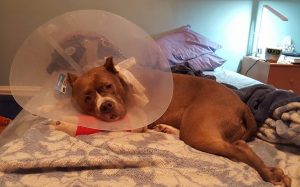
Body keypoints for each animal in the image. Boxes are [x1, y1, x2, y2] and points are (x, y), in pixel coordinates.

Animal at [67, 57, 290, 187]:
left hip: (197, 131)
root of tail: (242, 104)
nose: (105, 106)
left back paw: (270, 175)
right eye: (87, 97)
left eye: (108, 86)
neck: (124, 83)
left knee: (240, 147)